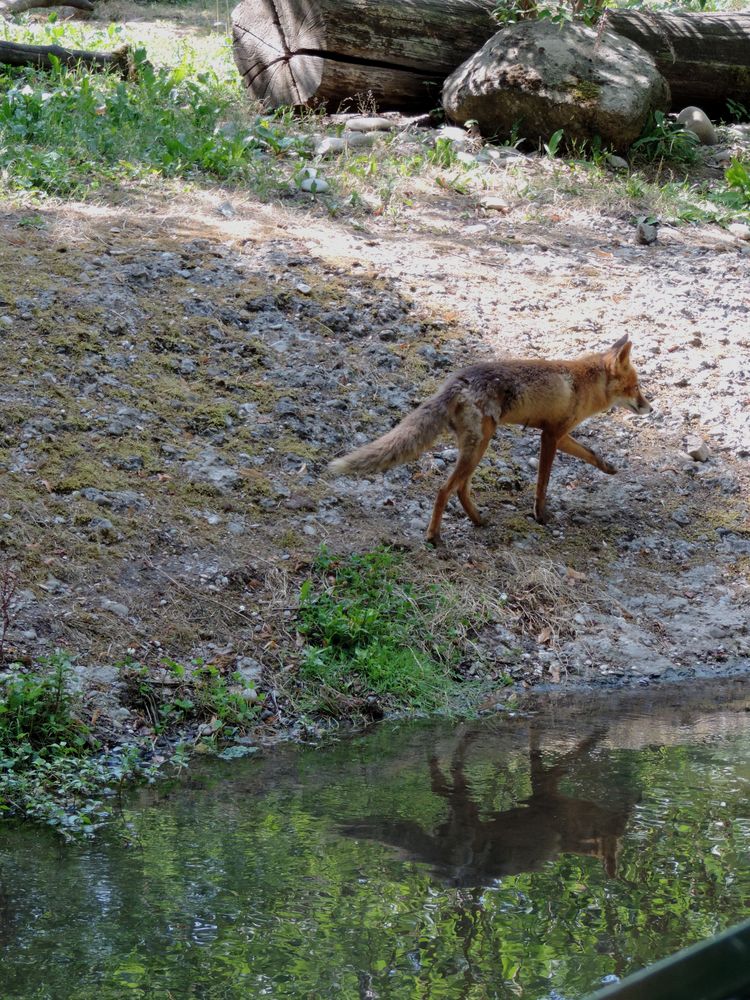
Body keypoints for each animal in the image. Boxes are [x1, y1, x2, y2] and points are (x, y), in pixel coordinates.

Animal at [328, 334, 652, 548]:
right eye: (636, 387)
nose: (650, 408)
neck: (583, 384)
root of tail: (457, 380)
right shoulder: (550, 436)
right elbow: (542, 484)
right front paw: (541, 515)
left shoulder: (559, 434)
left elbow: (590, 452)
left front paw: (608, 467)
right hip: (480, 445)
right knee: (445, 489)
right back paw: (434, 536)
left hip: (475, 446)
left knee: (460, 489)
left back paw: (478, 521)